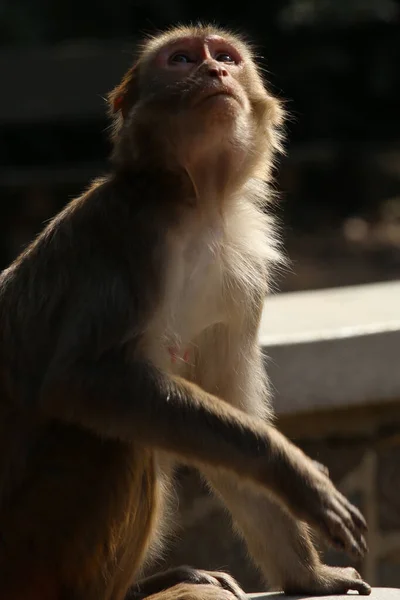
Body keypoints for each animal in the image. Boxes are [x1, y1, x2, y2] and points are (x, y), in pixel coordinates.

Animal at [0, 23, 370, 600]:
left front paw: (311, 576)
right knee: (115, 438)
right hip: (30, 550)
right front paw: (291, 470)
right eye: (181, 60)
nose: (215, 71)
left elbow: (227, 401)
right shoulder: (131, 234)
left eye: (225, 57)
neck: (197, 204)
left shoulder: (243, 277)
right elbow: (79, 380)